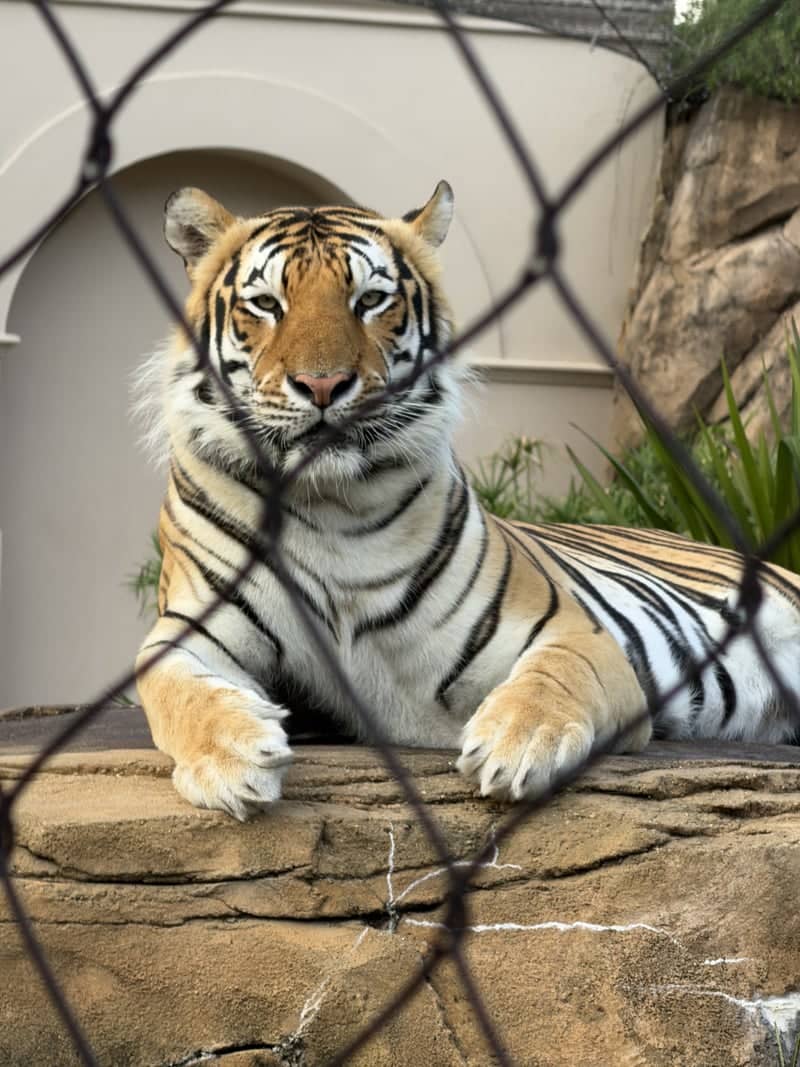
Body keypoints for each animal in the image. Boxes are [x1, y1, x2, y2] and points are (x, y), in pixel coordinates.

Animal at [135, 181, 800, 820]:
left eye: (370, 301)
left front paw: (522, 742)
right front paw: (232, 757)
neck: (332, 505)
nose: (323, 385)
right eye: (267, 304)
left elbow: (556, 675)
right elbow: (178, 691)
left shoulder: (570, 630)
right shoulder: (190, 627)